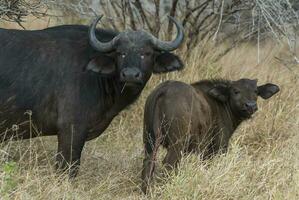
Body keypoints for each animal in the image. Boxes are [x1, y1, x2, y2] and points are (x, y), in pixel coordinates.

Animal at [142, 78, 280, 192]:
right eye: (236, 91)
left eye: (256, 91)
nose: (251, 106)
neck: (222, 104)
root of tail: (165, 89)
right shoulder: (218, 147)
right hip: (177, 144)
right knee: (168, 163)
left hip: (149, 141)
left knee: (148, 163)